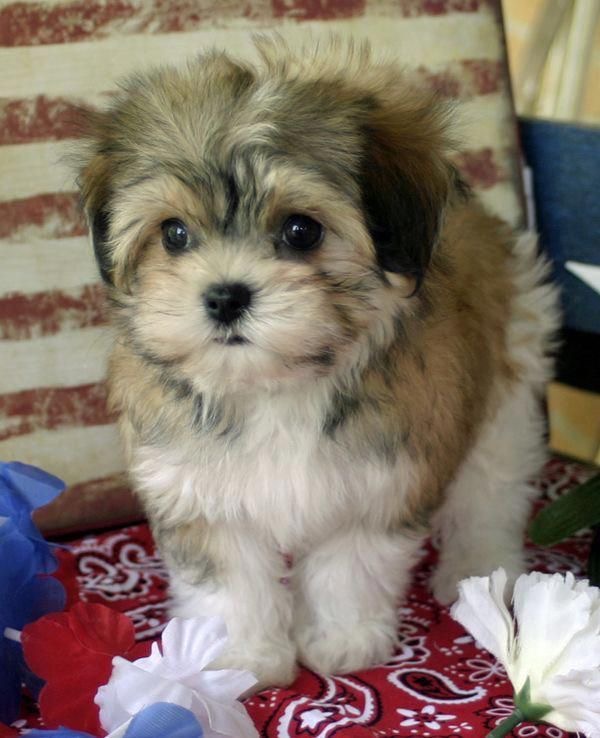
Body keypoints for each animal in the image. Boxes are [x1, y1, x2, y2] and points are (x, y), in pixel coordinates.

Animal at [77, 38, 560, 684]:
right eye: (174, 234)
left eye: (301, 230)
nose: (225, 296)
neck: (277, 384)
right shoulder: (199, 489)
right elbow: (230, 584)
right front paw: (241, 655)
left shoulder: (376, 482)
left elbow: (346, 568)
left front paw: (342, 639)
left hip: (508, 379)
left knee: (492, 486)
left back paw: (478, 569)